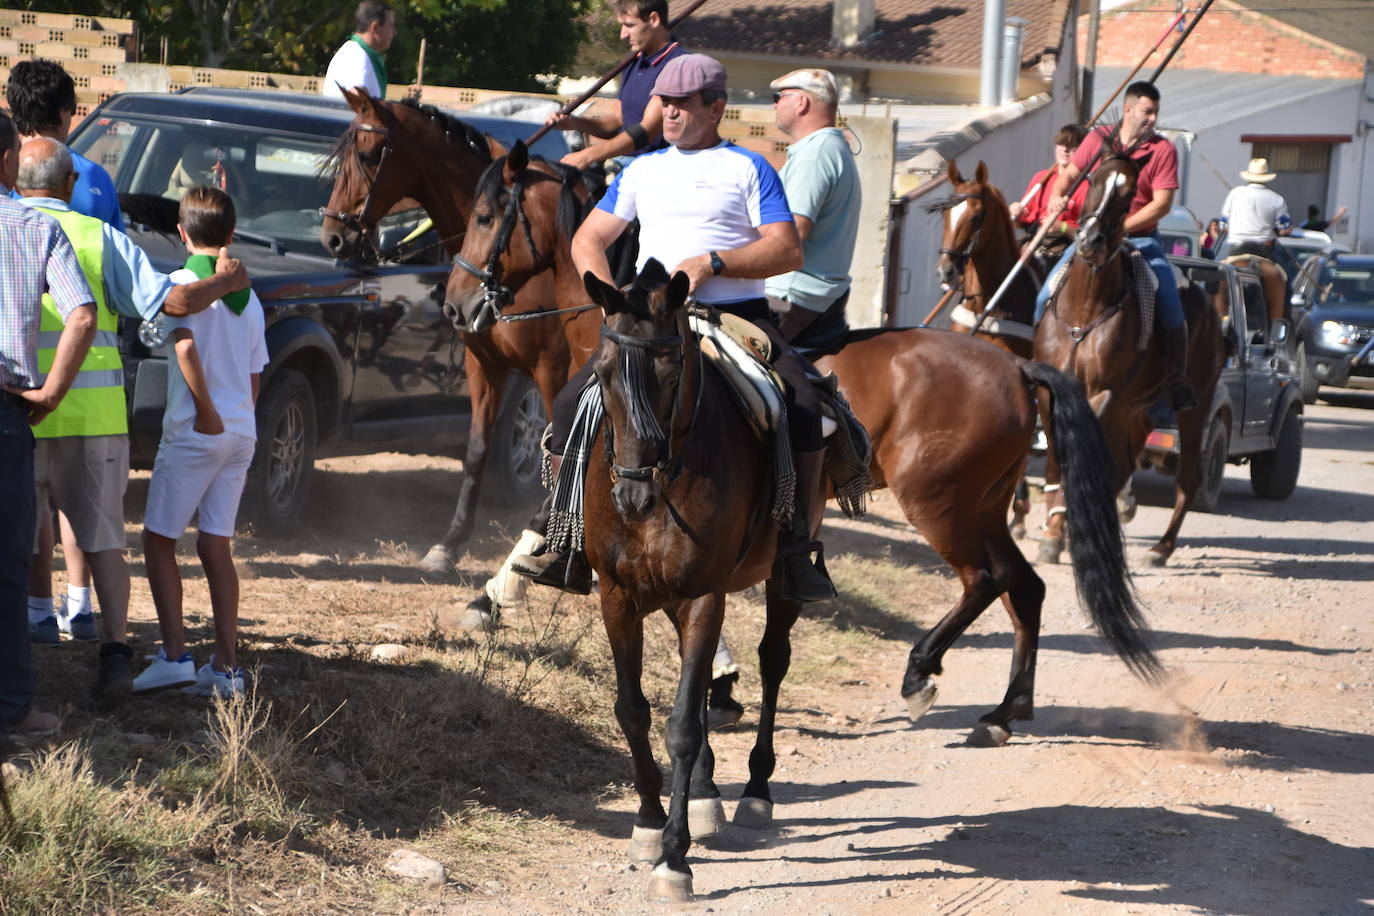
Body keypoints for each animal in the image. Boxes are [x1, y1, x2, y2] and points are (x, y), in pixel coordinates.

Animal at [318, 87, 577, 574]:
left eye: (369, 153)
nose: (334, 238)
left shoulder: (552, 369)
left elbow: (559, 453)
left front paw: (540, 535)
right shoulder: (484, 363)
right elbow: (476, 448)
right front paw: (450, 543)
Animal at [453, 152, 1159, 752]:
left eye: (486, 218)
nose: (457, 304)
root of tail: (1015, 366)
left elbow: (542, 522)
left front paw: (489, 598)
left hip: (940, 503)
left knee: (987, 579)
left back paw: (923, 673)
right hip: (984, 503)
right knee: (1024, 586)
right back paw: (1005, 711)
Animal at [1033, 150, 1225, 565]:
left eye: (1128, 196)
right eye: (1092, 181)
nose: (1090, 240)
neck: (1085, 310)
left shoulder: (1101, 393)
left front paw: (1060, 528)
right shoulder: (1048, 391)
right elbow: (1056, 456)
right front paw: (1054, 533)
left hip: (1192, 407)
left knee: (1187, 477)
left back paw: (1162, 548)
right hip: (1136, 408)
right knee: (1124, 464)